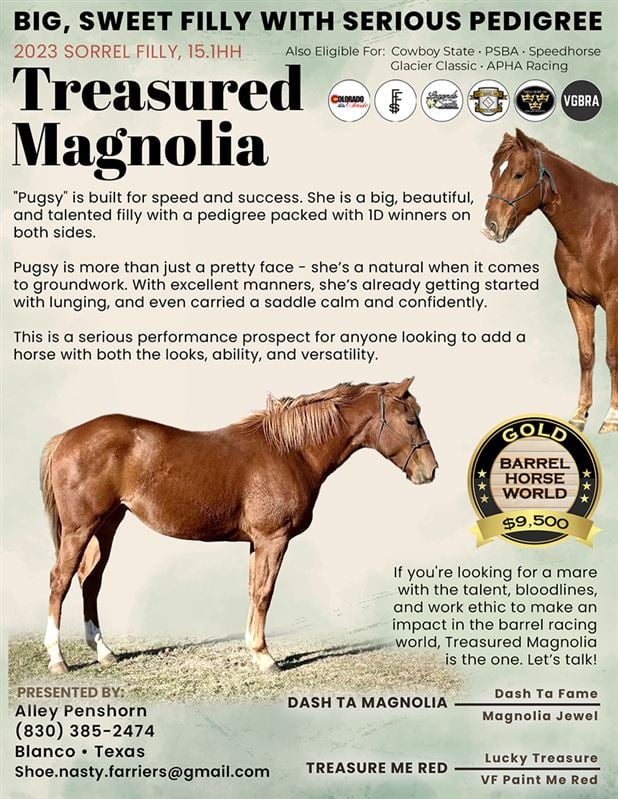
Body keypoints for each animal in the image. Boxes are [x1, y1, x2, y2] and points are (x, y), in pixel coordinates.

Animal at [41, 378, 437, 674]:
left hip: (106, 526)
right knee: (60, 581)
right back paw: (58, 659)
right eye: (411, 419)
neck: (290, 452)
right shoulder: (273, 540)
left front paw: (253, 649)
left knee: (90, 582)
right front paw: (265, 658)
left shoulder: (255, 543)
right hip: (80, 529)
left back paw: (104, 652)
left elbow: (252, 591)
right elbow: (264, 593)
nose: (430, 471)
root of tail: (65, 438)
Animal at [483, 128, 618, 433]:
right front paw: (580, 414)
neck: (593, 226)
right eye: (493, 172)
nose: (491, 227)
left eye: (518, 174)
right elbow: (587, 355)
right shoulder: (578, 300)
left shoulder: (614, 301)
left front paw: (612, 417)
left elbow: (612, 355)